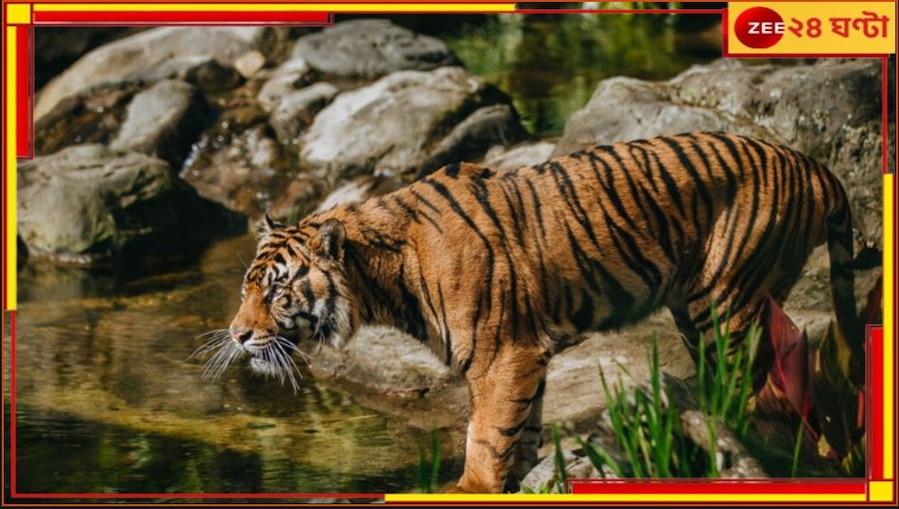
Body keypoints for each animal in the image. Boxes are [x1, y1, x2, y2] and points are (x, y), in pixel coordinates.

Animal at [198, 131, 868, 493]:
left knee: (762, 389)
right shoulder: (527, 354)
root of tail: (813, 164)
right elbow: (521, 427)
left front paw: (468, 488)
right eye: (246, 288)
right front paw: (524, 477)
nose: (237, 334)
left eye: (277, 293)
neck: (380, 276)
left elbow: (486, 430)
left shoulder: (501, 353)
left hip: (724, 301)